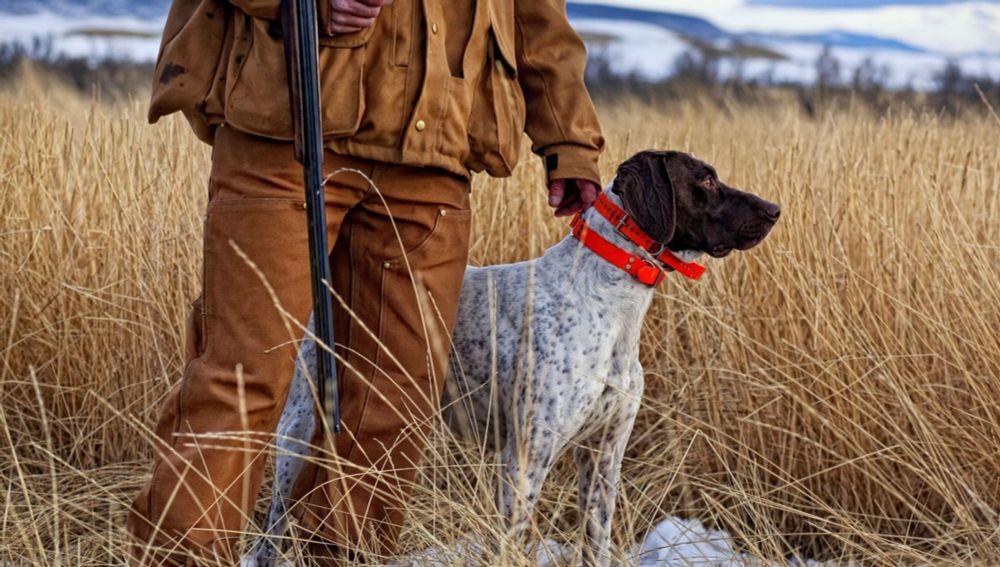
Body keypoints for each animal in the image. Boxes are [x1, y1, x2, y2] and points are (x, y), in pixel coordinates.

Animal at [244, 151, 780, 567]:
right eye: (705, 179)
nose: (775, 209)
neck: (610, 305)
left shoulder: (603, 457)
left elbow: (595, 543)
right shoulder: (524, 459)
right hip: (296, 434)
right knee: (271, 536)